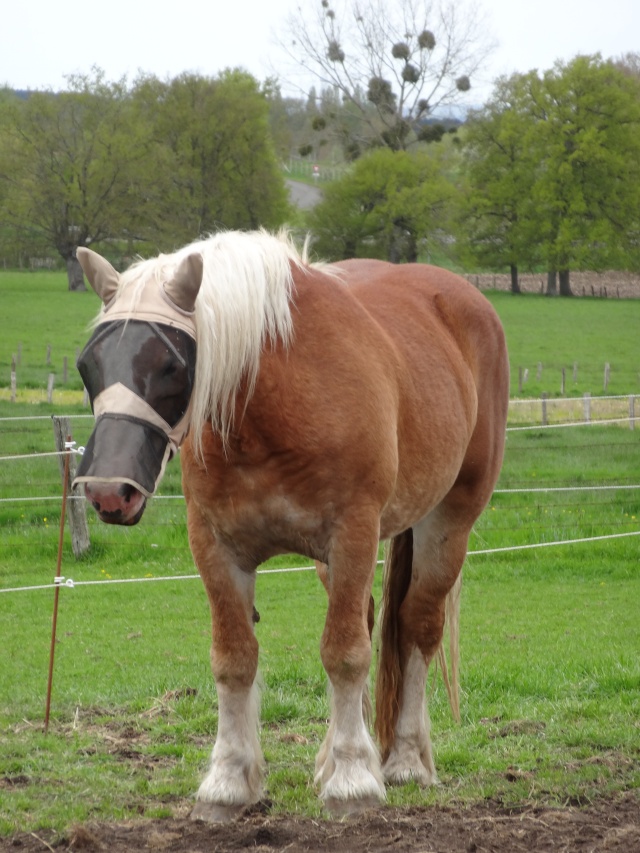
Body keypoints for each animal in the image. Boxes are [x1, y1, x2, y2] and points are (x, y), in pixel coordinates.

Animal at [72, 226, 508, 820]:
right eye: (88, 365)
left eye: (172, 366)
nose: (107, 491)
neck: (272, 410)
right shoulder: (216, 547)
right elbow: (235, 659)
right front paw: (229, 781)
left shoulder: (352, 535)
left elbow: (345, 653)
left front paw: (353, 782)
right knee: (370, 616)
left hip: (448, 521)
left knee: (417, 624)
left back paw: (404, 760)